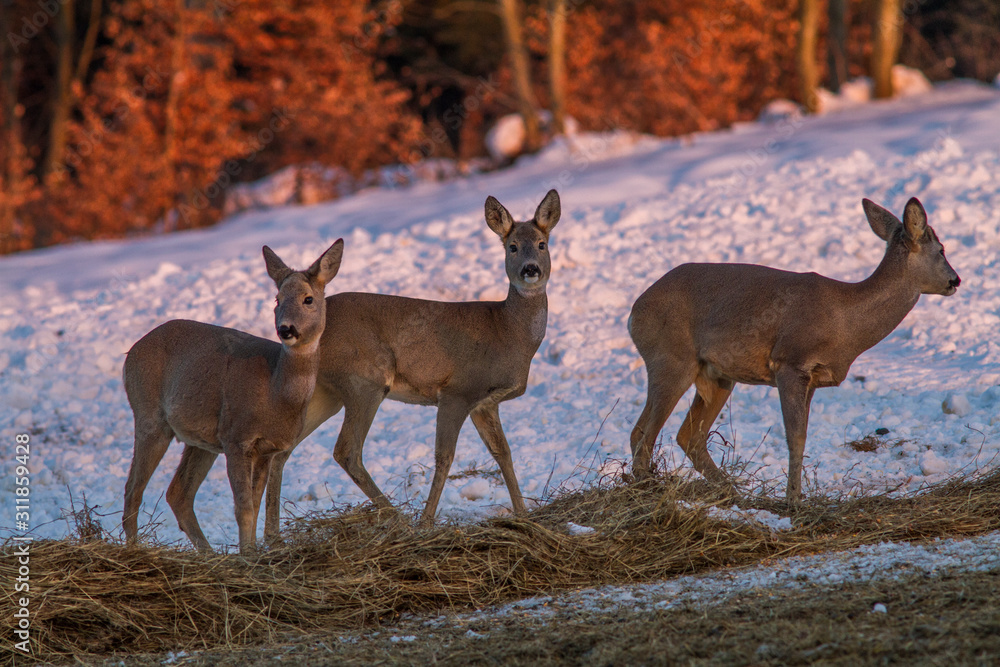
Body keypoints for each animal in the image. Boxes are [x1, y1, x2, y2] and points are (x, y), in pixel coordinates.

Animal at [121, 240, 344, 552]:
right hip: (149, 416)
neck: (275, 393)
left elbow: (255, 503)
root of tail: (131, 353)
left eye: (308, 299)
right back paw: (135, 550)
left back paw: (208, 554)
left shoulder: (266, 449)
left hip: (201, 440)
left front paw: (251, 552)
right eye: (276, 299)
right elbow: (243, 508)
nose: (286, 329)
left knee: (178, 492)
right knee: (133, 488)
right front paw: (246, 555)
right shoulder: (237, 437)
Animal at [264, 189, 564, 532]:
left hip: (326, 393)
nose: (530, 269)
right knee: (346, 451)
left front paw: (524, 515)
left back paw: (272, 537)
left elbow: (503, 453)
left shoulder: (485, 403)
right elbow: (444, 457)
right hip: (365, 379)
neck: (507, 331)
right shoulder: (457, 390)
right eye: (512, 246)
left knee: (282, 450)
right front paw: (427, 522)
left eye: (542, 244)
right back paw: (399, 519)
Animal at [628, 198, 956, 500]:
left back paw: (734, 493)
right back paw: (647, 491)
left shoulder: (811, 378)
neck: (846, 322)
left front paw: (795, 497)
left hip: (718, 376)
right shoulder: (790, 362)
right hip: (671, 358)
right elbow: (795, 438)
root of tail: (634, 313)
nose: (956, 280)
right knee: (642, 433)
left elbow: (803, 435)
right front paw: (794, 500)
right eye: (941, 250)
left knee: (688, 436)